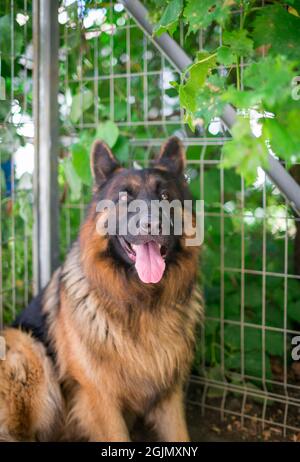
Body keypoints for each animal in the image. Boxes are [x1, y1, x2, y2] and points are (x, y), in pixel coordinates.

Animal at [0, 136, 203, 440]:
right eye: (124, 197)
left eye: (166, 196)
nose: (153, 224)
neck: (142, 304)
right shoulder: (99, 397)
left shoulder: (168, 394)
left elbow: (179, 434)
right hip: (26, 349)